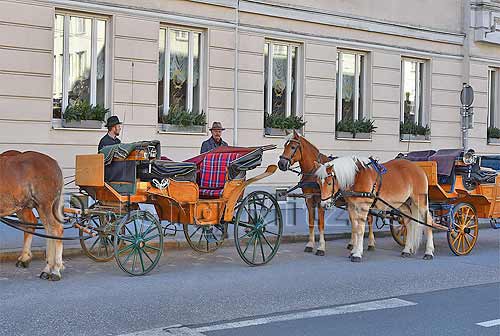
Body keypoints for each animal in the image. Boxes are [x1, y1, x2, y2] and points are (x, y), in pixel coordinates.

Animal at [0, 151, 65, 280]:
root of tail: (54, 163)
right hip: (40, 207)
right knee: (49, 231)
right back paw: (47, 268)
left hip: (45, 205)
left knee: (56, 230)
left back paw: (55, 270)